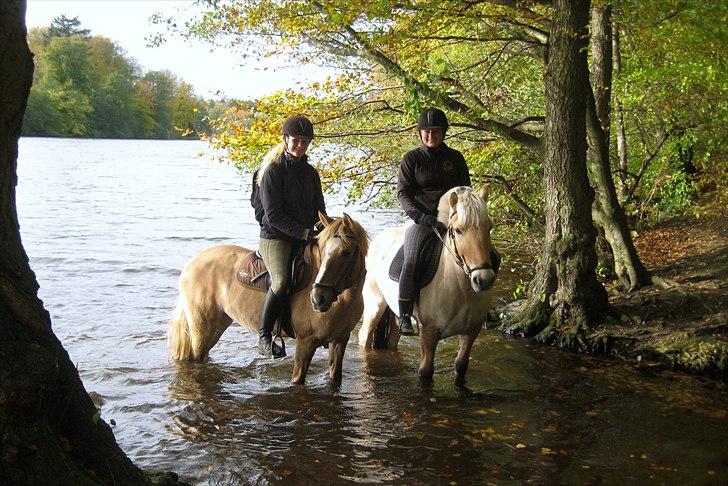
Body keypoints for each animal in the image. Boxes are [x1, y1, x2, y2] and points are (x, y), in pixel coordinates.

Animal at [168, 213, 366, 384]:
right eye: (323, 250)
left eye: (345, 252)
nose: (318, 299)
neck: (342, 303)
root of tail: (192, 263)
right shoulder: (305, 343)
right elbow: (297, 380)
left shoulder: (340, 340)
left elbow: (335, 377)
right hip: (200, 329)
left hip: (217, 325)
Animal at [356, 186, 494, 384]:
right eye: (458, 230)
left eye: (489, 227)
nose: (483, 280)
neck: (460, 288)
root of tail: (377, 240)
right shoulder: (429, 333)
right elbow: (426, 372)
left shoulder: (471, 332)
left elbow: (461, 366)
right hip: (375, 305)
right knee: (364, 337)